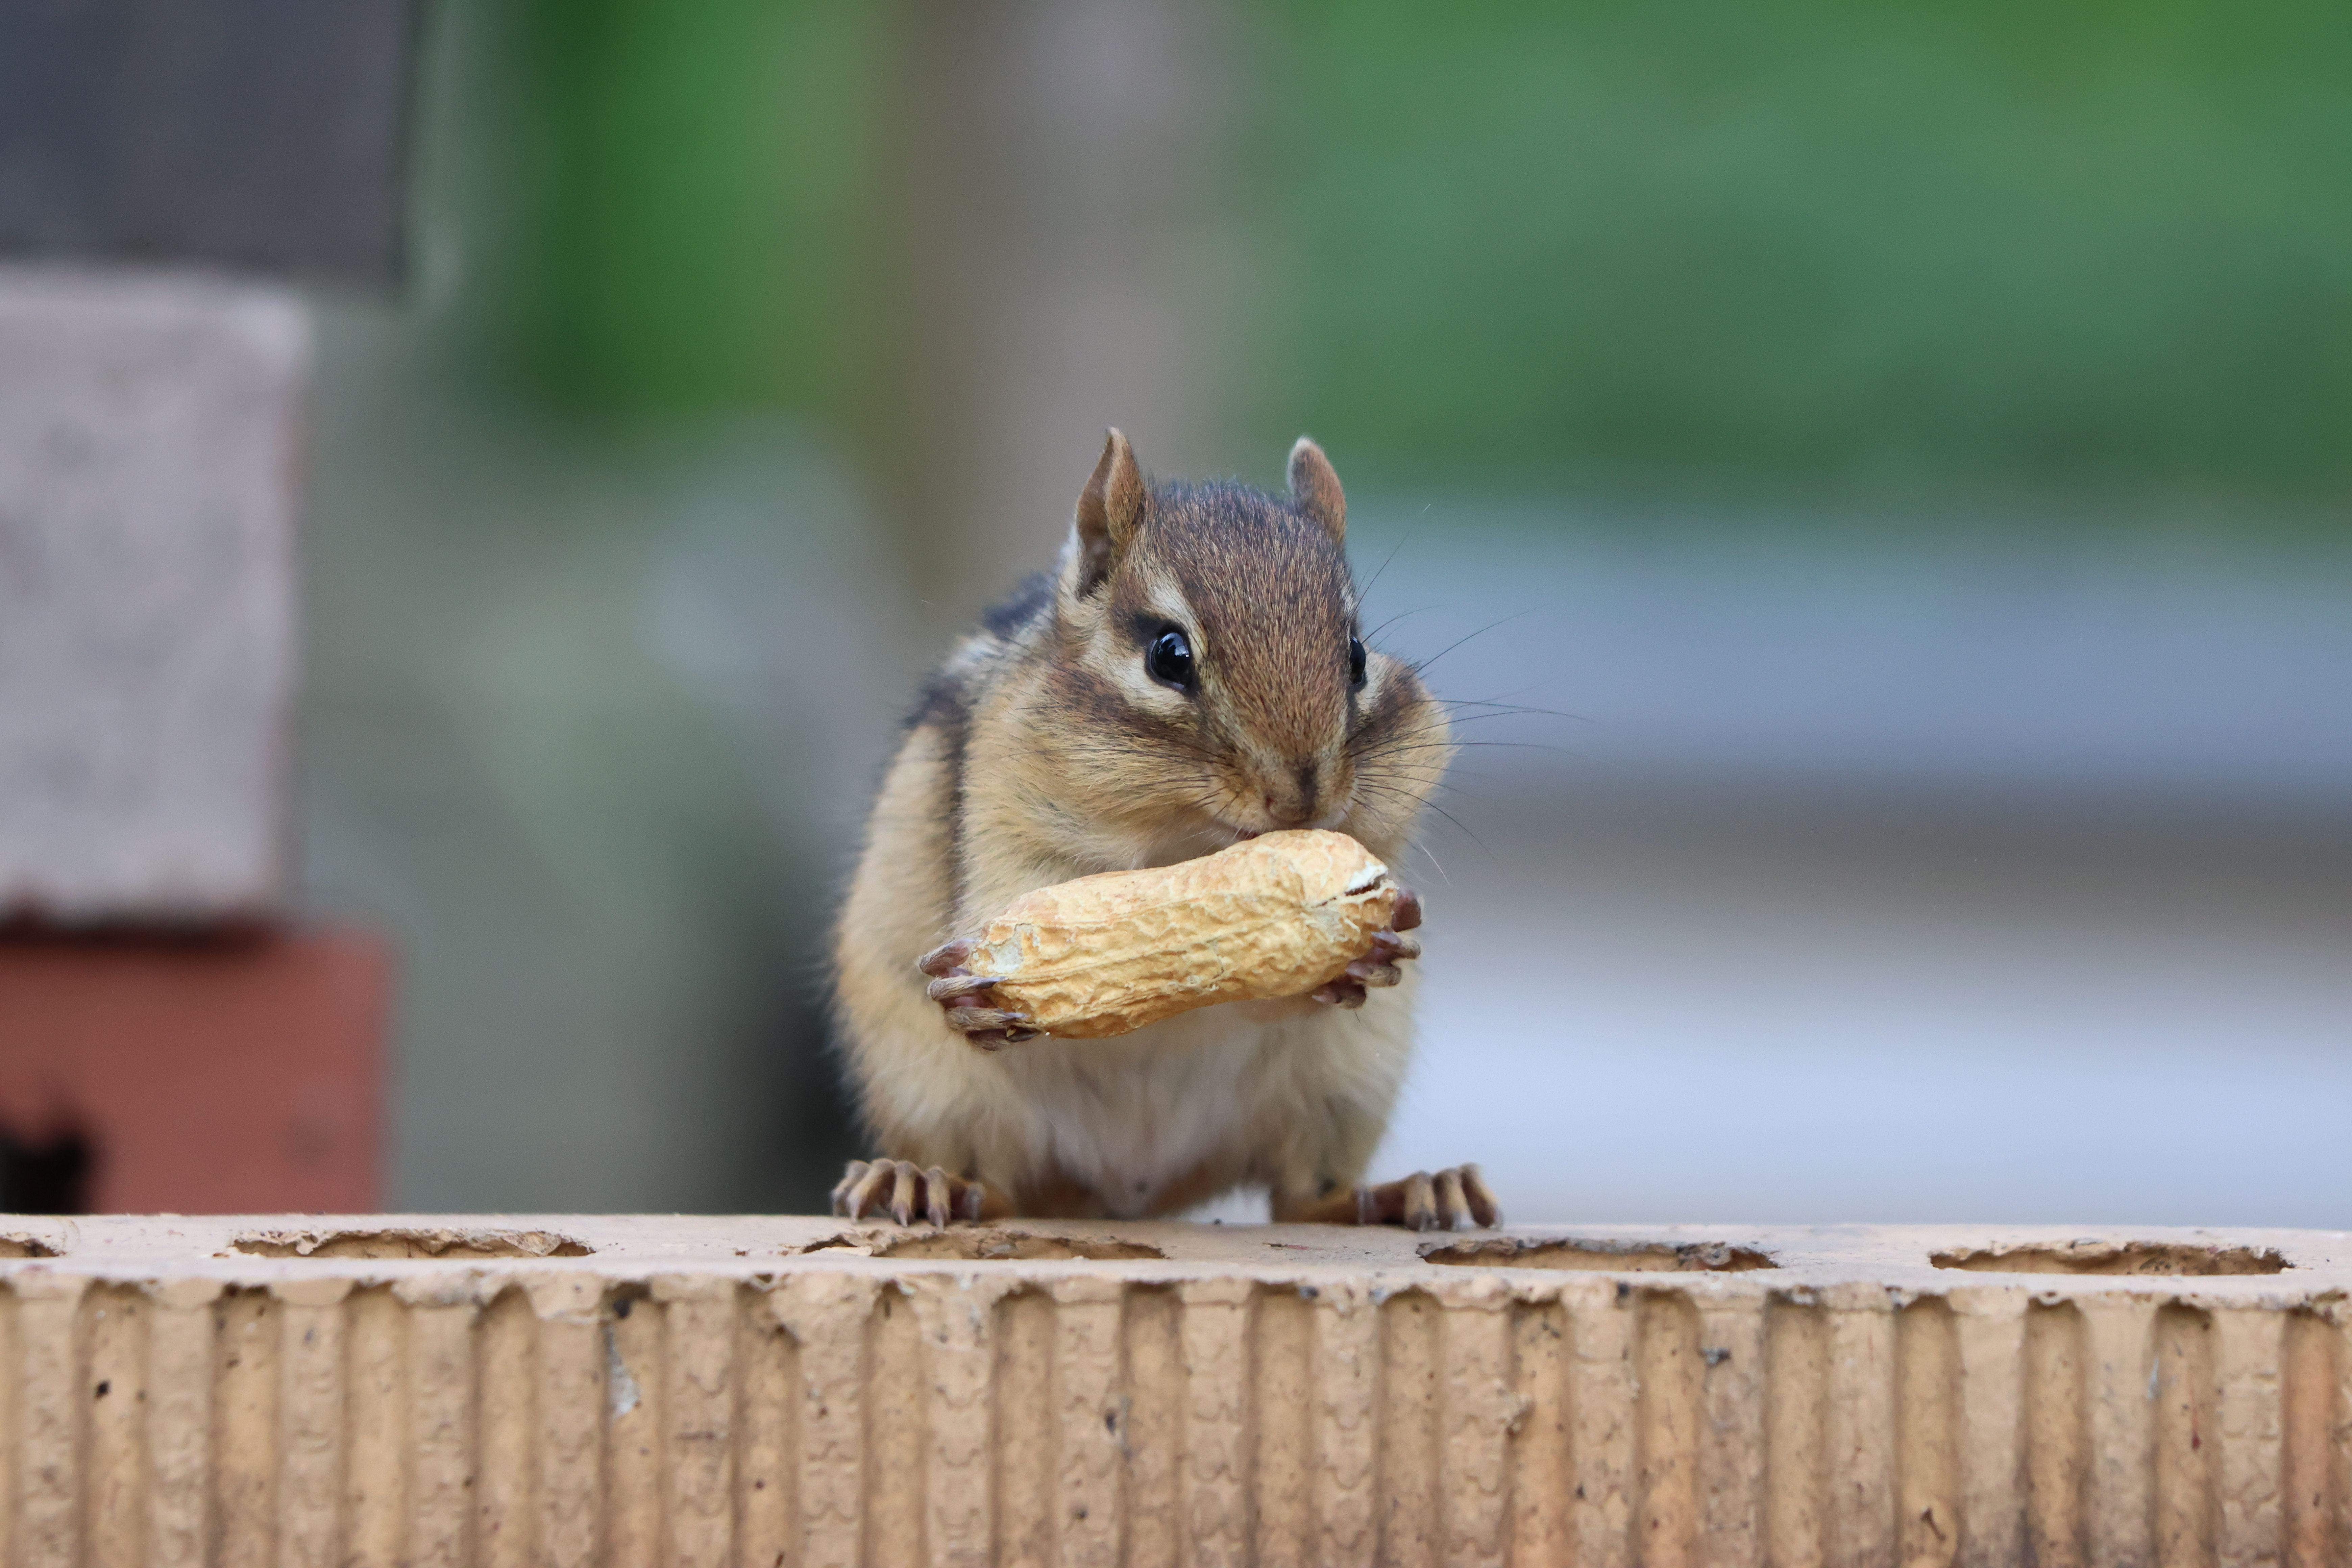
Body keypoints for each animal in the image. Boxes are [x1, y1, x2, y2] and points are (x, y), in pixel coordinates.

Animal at [828, 430, 1498, 1231]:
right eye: (1169, 656)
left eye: (1358, 656)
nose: (1302, 796)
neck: (1190, 843)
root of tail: (1126, 1193)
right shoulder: (1009, 832)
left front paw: (1371, 949)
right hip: (938, 1093)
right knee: (992, 1184)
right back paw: (921, 1182)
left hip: (1344, 1088)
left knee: (1308, 1197)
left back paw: (1411, 1191)